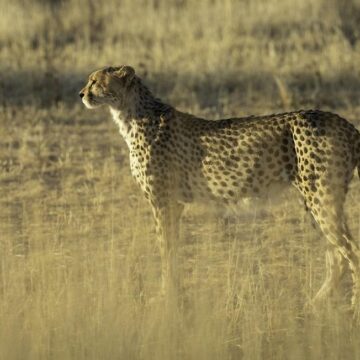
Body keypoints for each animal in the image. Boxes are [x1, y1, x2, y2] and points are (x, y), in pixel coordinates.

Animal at [79, 65, 360, 310]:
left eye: (95, 81)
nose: (81, 94)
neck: (130, 114)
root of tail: (345, 122)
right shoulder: (175, 204)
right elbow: (173, 249)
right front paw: (174, 294)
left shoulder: (163, 202)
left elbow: (166, 251)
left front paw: (166, 298)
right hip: (315, 202)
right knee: (337, 256)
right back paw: (316, 303)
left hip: (321, 198)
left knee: (351, 251)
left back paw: (353, 309)